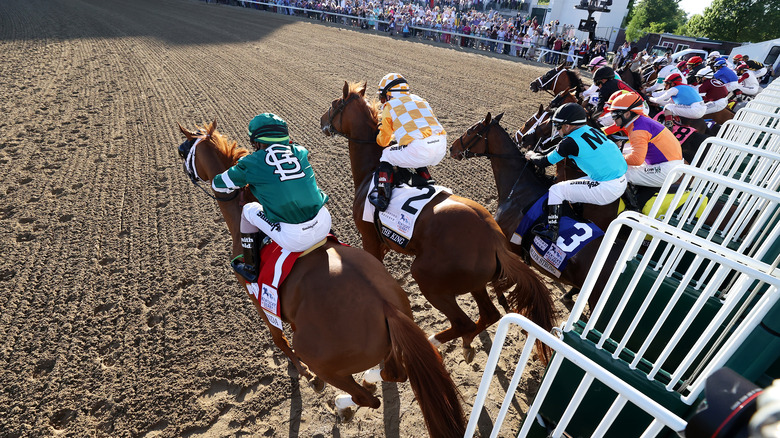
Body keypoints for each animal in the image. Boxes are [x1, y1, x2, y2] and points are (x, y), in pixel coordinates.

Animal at [175, 121, 464, 436]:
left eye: (186, 148)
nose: (180, 157)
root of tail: (386, 307)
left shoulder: (259, 298)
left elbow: (279, 340)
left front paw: (306, 377)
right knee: (392, 374)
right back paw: (368, 380)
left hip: (324, 358)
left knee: (368, 399)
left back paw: (342, 403)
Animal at [318, 82, 556, 362]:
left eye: (334, 104)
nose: (322, 121)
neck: (371, 173)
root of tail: (495, 240)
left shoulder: (370, 241)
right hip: (476, 281)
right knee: (489, 314)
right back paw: (466, 344)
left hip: (428, 277)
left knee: (463, 322)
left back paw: (433, 342)